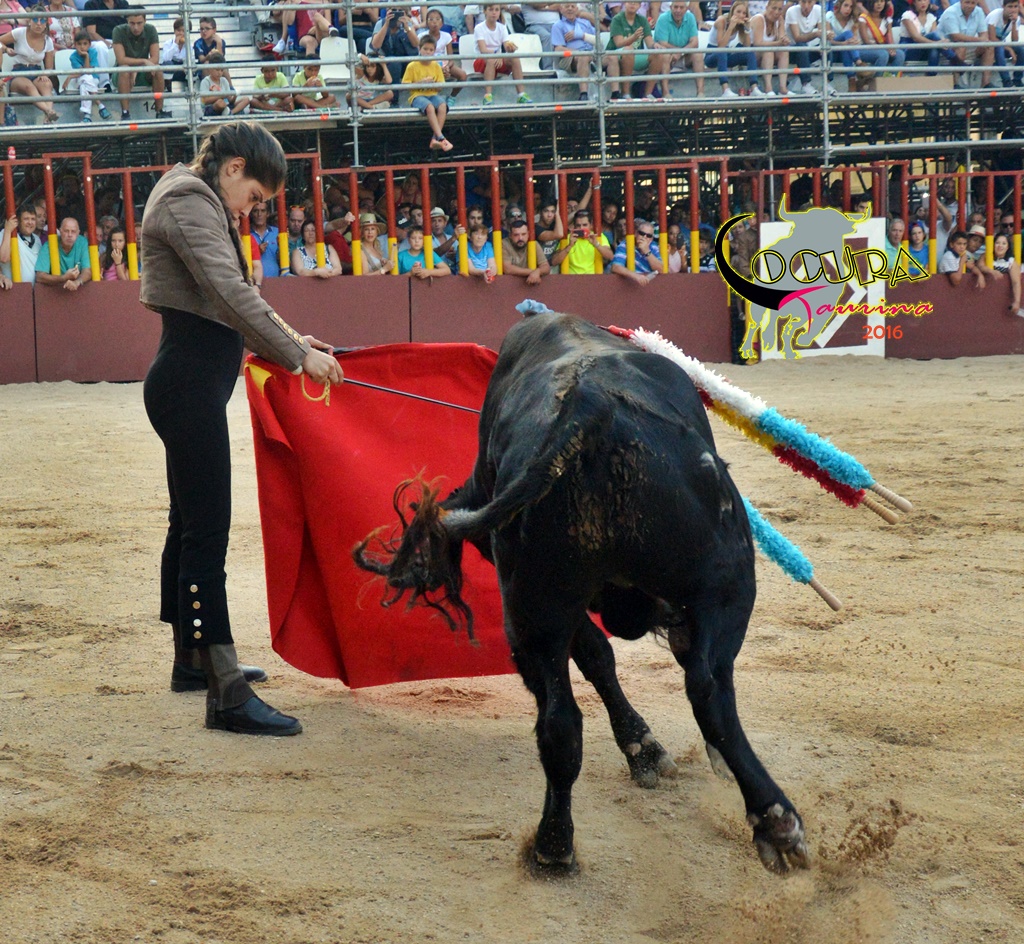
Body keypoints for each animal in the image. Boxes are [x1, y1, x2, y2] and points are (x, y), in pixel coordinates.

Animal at [353, 311, 809, 876]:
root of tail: (589, 410)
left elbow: (595, 657)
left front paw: (644, 751)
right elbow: (608, 656)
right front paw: (650, 751)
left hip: (547, 607)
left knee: (573, 719)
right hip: (719, 585)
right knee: (704, 686)